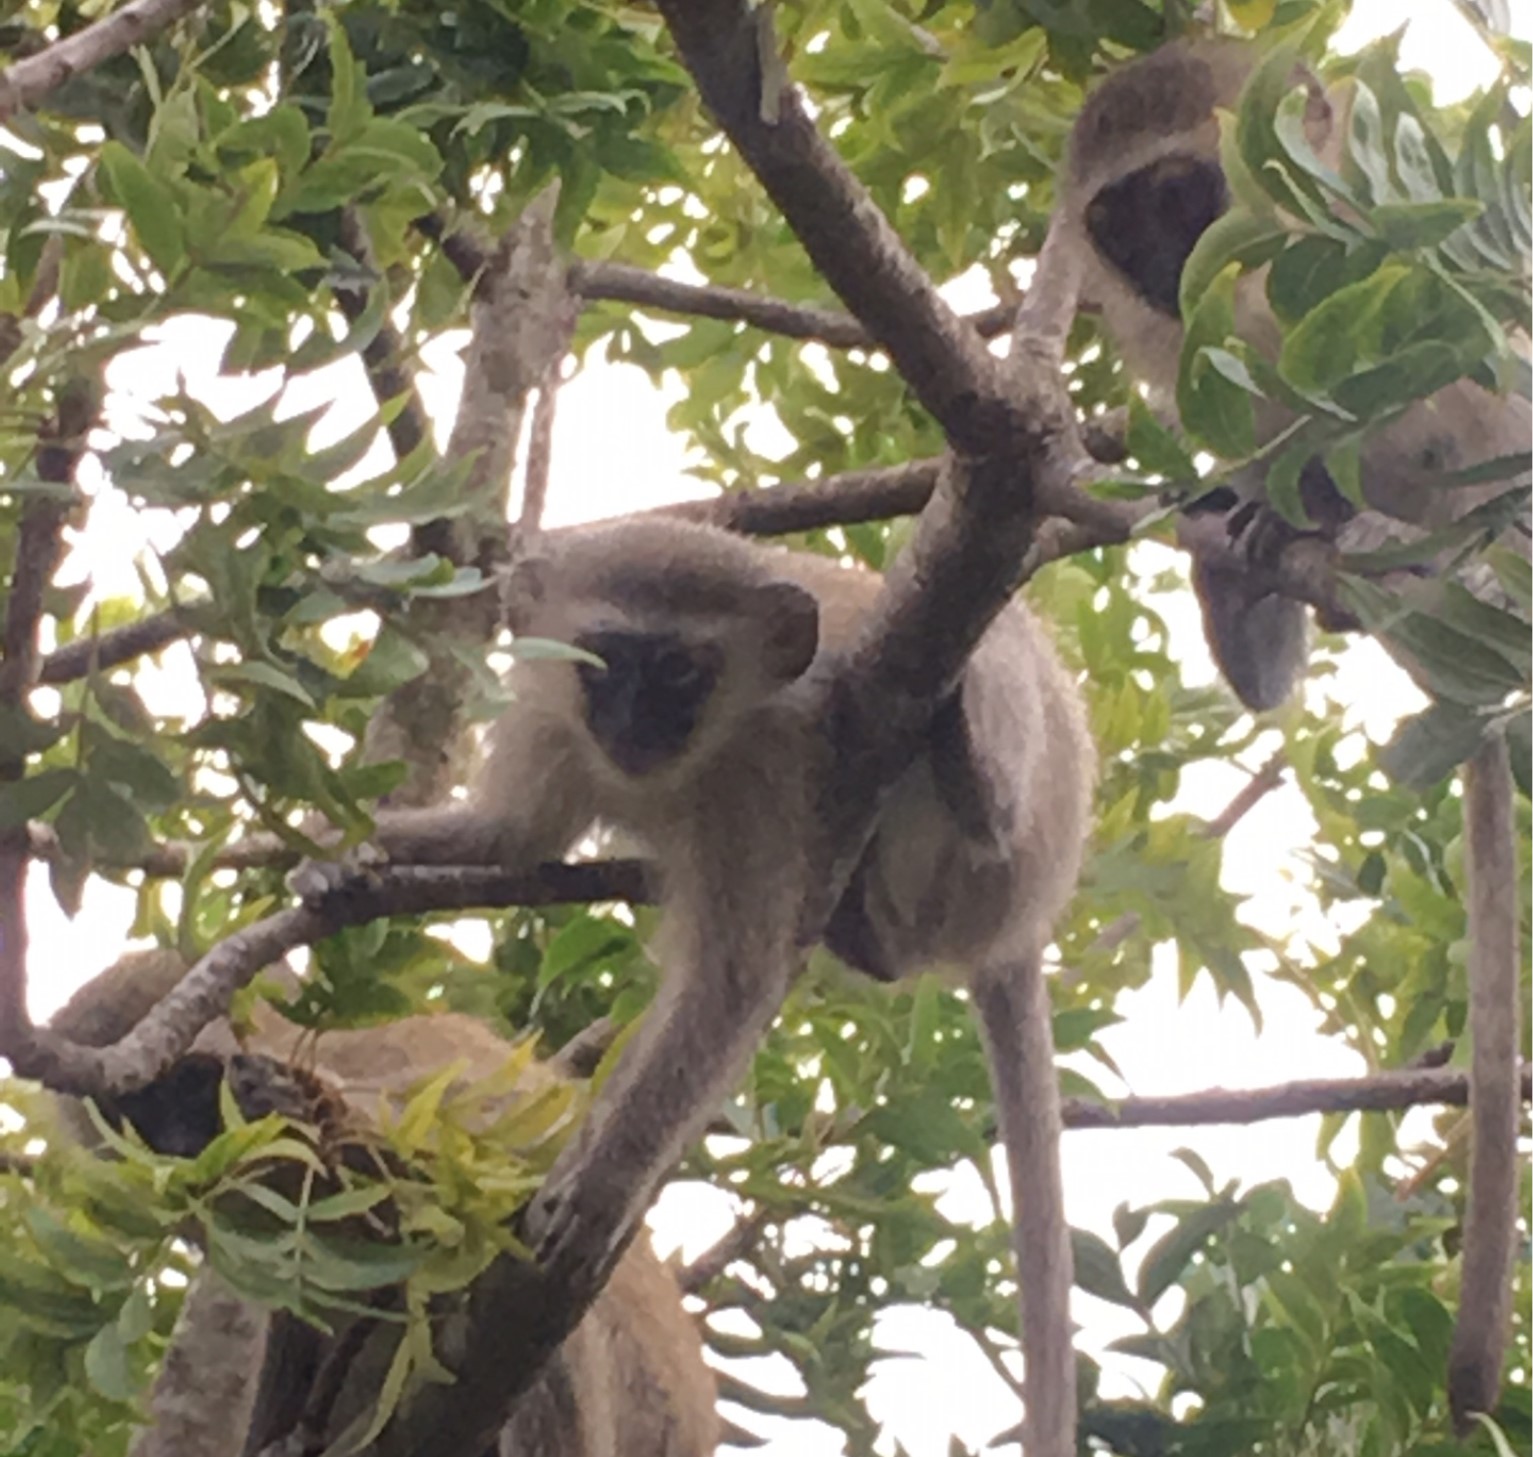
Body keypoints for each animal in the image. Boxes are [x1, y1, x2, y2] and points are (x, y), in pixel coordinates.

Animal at [321, 515, 1095, 1457]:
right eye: (605, 658)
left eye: (682, 671)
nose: (635, 726)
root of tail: (1026, 917)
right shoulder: (553, 720)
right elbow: (508, 836)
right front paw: (350, 858)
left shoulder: (763, 775)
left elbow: (731, 980)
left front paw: (599, 1186)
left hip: (1022, 824)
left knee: (1001, 675)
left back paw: (972, 776)